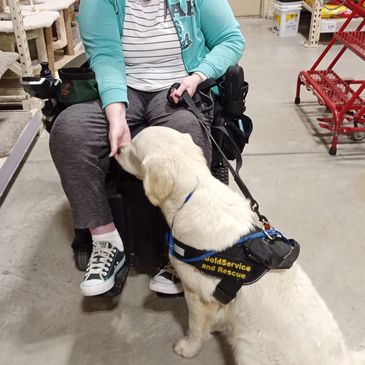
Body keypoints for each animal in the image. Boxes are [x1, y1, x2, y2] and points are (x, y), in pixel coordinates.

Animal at [117, 126, 364, 364]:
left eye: (132, 147)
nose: (117, 148)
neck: (192, 193)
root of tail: (342, 357)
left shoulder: (196, 294)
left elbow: (195, 328)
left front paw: (188, 348)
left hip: (248, 349)